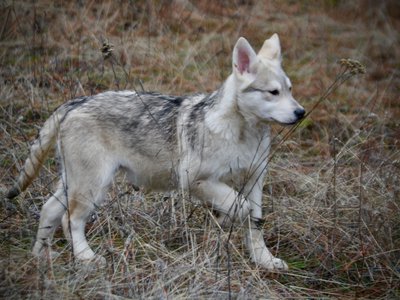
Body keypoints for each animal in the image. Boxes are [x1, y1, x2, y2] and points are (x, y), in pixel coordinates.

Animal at [6, 34, 304, 270]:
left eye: (290, 90)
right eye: (273, 92)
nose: (301, 112)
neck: (242, 133)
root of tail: (76, 102)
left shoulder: (255, 182)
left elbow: (254, 224)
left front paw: (264, 261)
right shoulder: (196, 180)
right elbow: (239, 208)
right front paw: (223, 221)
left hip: (75, 183)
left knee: (49, 210)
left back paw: (42, 256)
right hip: (93, 187)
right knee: (70, 220)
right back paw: (86, 258)